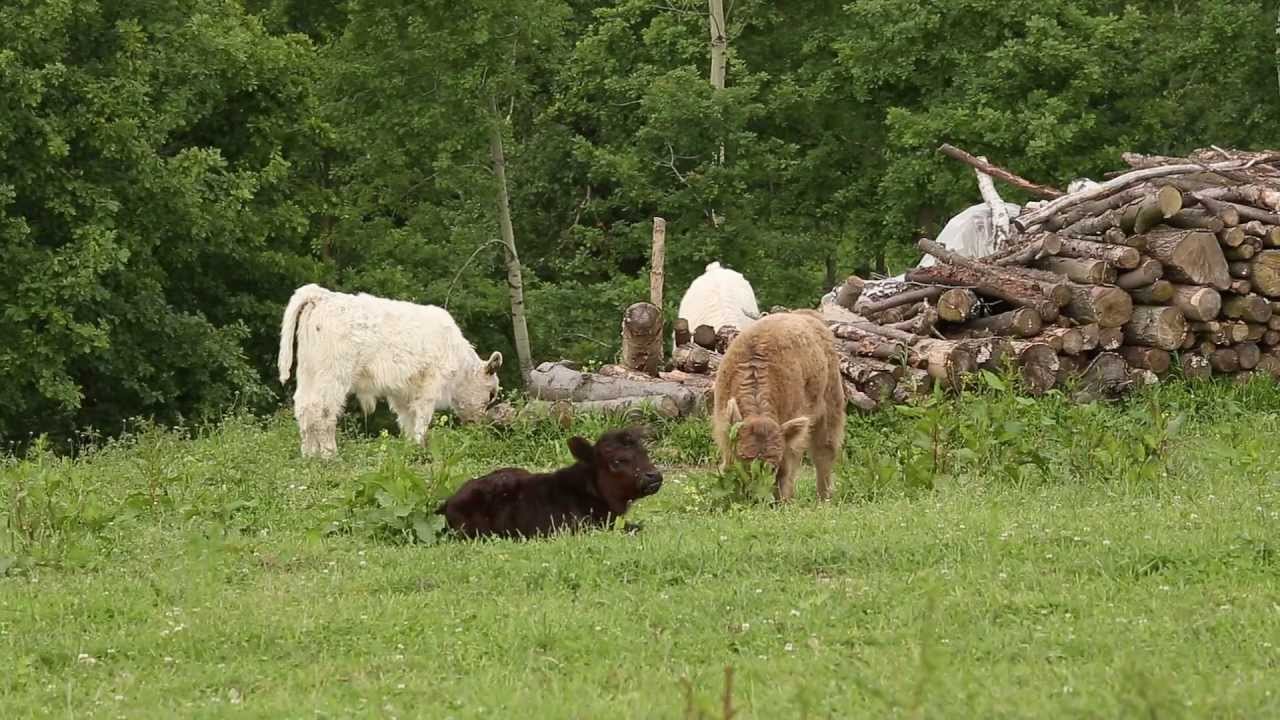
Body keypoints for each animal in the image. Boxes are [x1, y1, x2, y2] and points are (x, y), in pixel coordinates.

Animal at [277, 283, 503, 458]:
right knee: (323, 410)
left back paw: (309, 455)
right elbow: (422, 418)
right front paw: (420, 447)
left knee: (304, 408)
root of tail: (321, 295)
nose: (479, 424)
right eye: (491, 393)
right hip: (332, 375)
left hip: (308, 372)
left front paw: (411, 447)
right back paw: (330, 455)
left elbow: (407, 419)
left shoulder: (403, 392)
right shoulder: (430, 384)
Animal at [711, 310, 845, 502]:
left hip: (830, 405)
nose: (754, 495)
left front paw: (783, 499)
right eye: (744, 460)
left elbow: (787, 469)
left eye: (772, 467)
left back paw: (824, 497)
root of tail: (808, 315)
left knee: (824, 451)